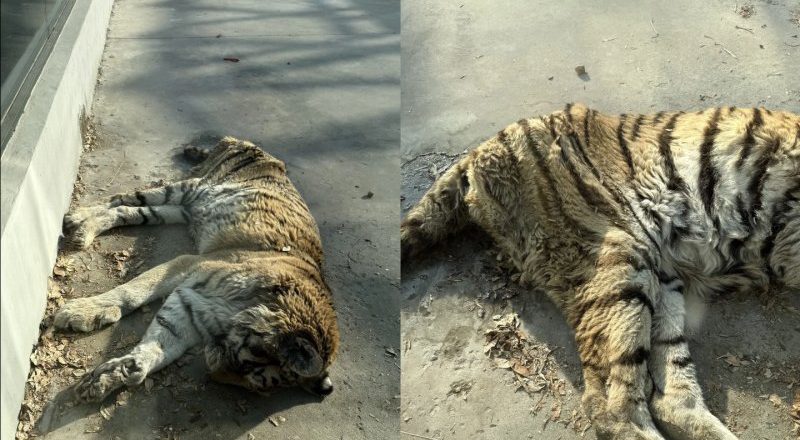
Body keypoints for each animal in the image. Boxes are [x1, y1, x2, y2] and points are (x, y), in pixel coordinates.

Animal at [54, 136, 340, 402]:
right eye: (249, 365)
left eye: (251, 383)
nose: (212, 370)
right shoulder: (189, 265)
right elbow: (133, 291)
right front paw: (79, 311)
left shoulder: (191, 305)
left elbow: (160, 344)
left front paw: (113, 376)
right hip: (189, 189)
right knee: (123, 198)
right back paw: (78, 220)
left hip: (180, 209)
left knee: (132, 211)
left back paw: (83, 228)